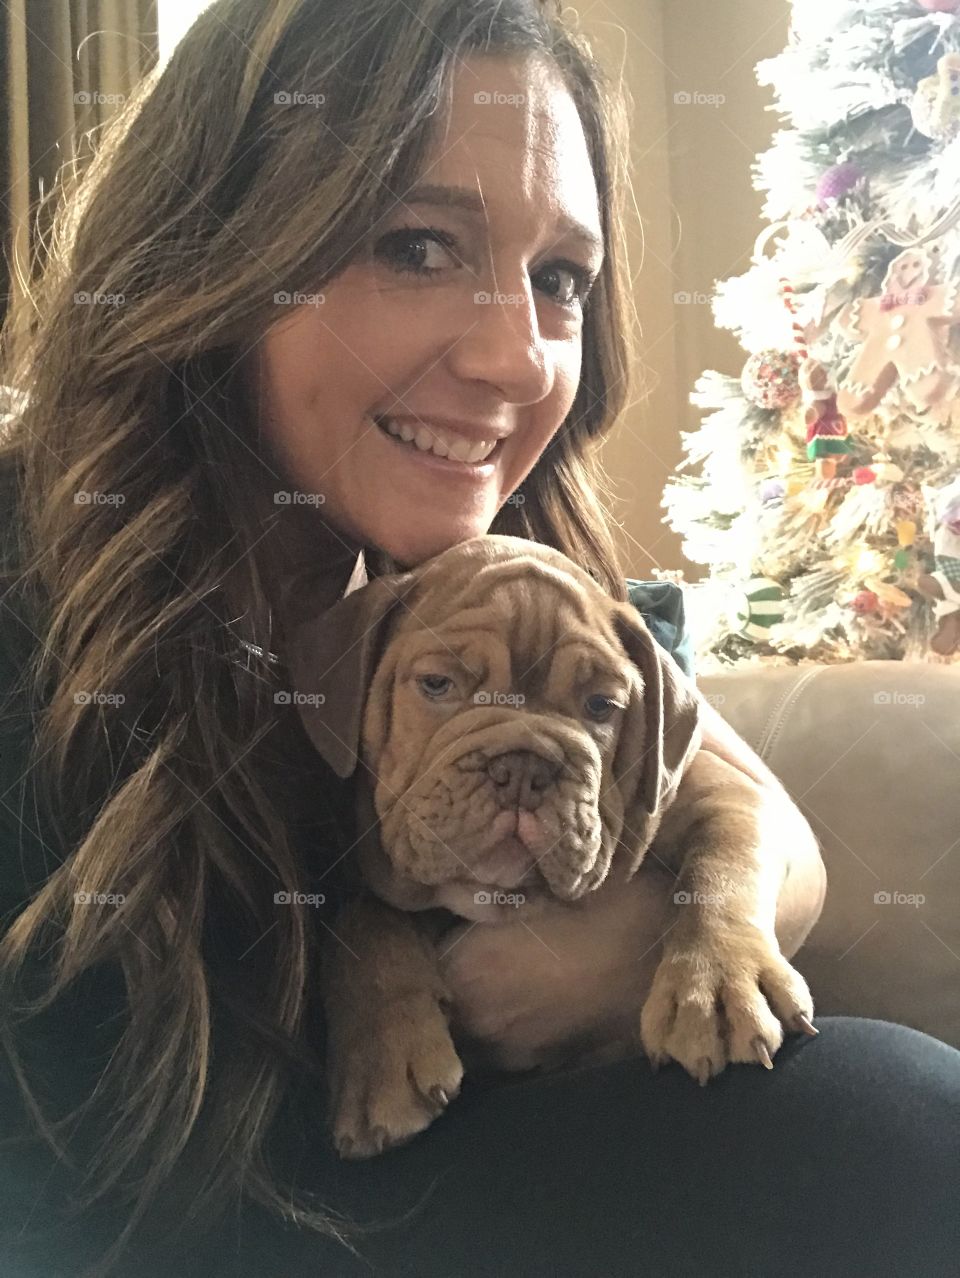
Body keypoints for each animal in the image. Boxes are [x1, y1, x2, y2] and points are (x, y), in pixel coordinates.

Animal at [288, 536, 812, 1160]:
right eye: (437, 684)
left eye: (601, 706)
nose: (524, 767)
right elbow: (362, 926)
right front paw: (379, 1058)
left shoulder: (728, 796)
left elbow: (725, 869)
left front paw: (720, 985)